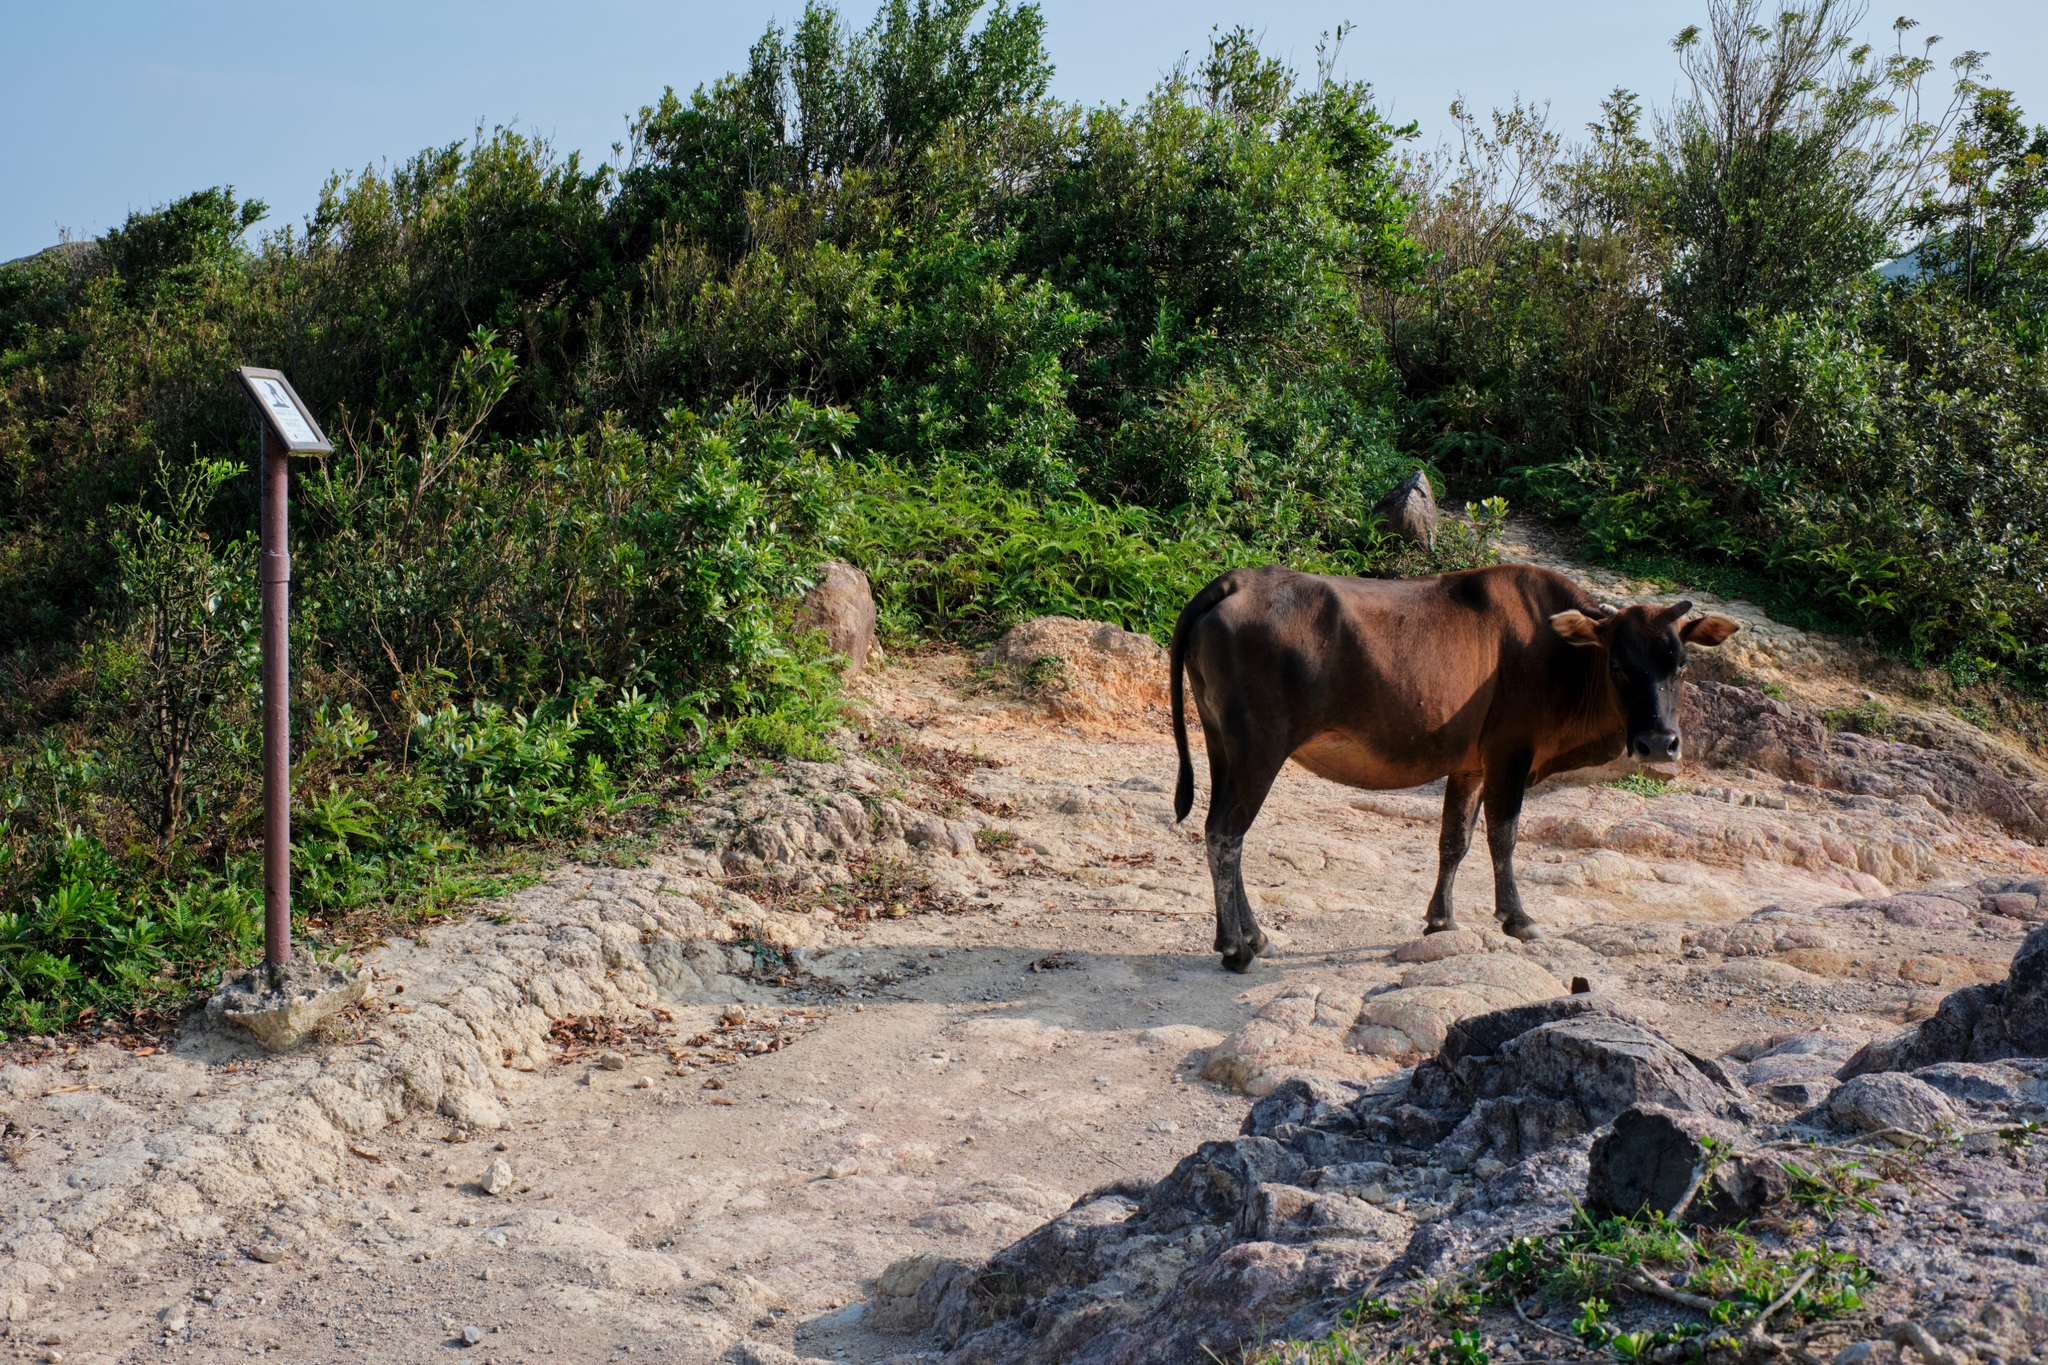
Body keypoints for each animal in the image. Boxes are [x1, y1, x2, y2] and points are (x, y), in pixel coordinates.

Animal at [1169, 564, 1739, 971]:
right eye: (1619, 664)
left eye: (1681, 665)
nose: (1659, 743)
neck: (1561, 654)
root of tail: (1235, 579)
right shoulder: (1511, 753)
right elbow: (1503, 837)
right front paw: (1517, 918)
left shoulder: (1471, 766)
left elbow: (1454, 840)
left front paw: (1441, 919)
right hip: (1258, 750)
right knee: (1225, 834)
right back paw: (1234, 947)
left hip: (1223, 747)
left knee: (1225, 833)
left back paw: (1254, 934)